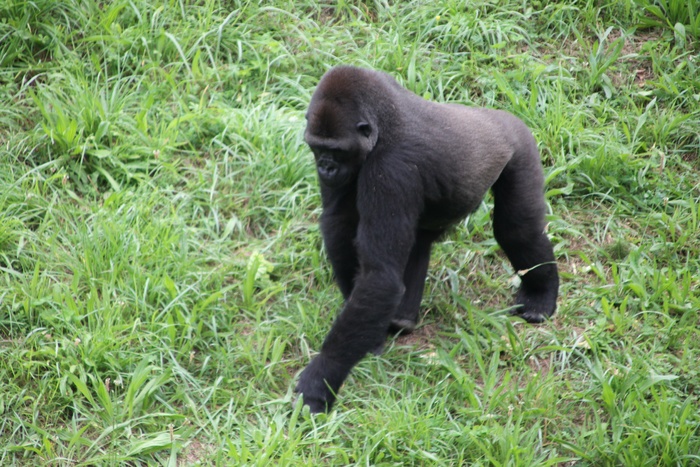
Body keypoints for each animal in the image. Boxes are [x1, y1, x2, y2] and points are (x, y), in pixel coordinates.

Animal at [296, 66, 556, 414]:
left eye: (336, 150)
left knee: (517, 229)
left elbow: (379, 277)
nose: (326, 167)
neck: (382, 125)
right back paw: (403, 319)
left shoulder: (391, 169)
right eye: (317, 147)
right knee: (420, 241)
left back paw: (541, 295)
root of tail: (502, 116)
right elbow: (338, 225)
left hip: (521, 148)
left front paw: (320, 381)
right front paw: (370, 337)